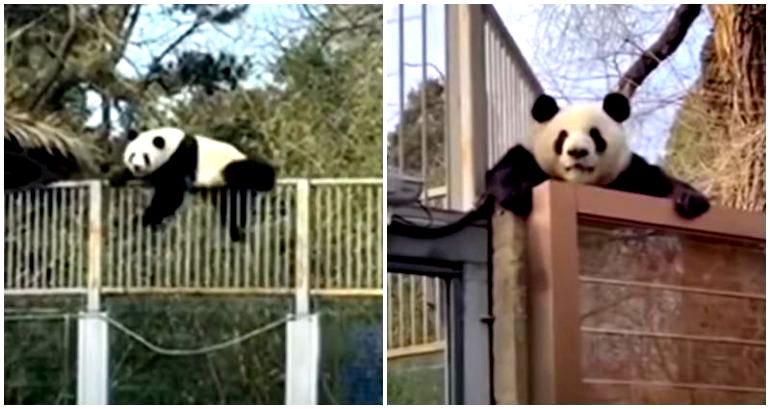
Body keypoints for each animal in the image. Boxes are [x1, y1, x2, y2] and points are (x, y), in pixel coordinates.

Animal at [109, 127, 274, 241]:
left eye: (145, 156)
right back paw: (235, 233)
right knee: (229, 209)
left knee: (245, 186)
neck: (172, 144)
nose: (136, 167)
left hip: (230, 169)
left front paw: (145, 218)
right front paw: (117, 176)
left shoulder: (181, 158)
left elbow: (171, 194)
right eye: (132, 155)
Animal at [390, 91, 708, 236]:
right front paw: (517, 194)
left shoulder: (626, 173)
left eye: (595, 135)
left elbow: (654, 180)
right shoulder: (530, 157)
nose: (577, 152)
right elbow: (503, 172)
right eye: (562, 136)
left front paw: (690, 199)